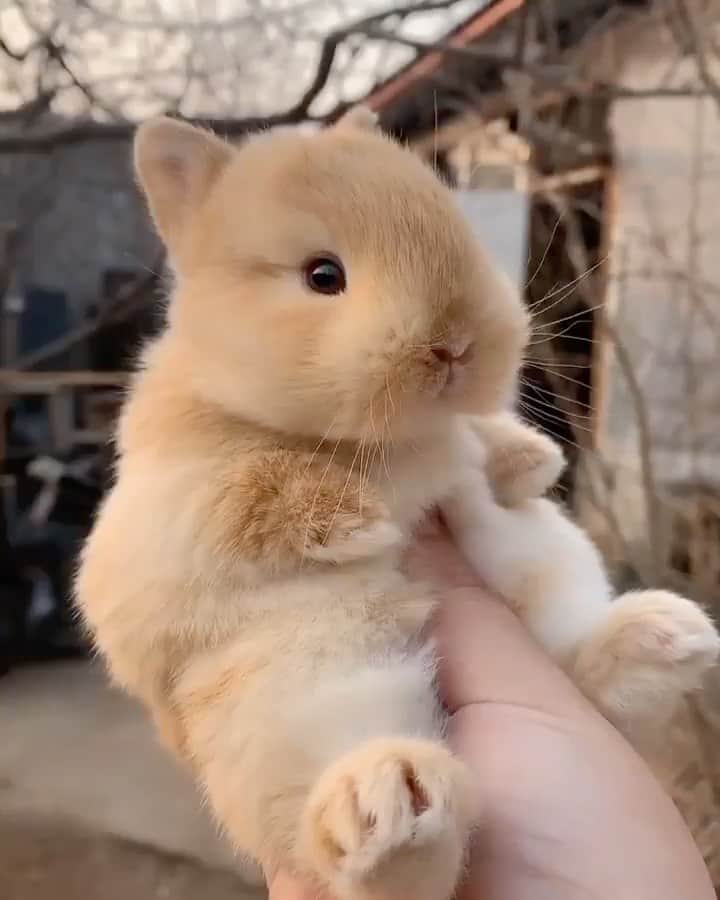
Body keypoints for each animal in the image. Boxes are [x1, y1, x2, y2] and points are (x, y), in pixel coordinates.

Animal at [75, 107, 718, 900]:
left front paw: (531, 461)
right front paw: (364, 517)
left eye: (455, 227)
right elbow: (256, 488)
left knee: (578, 668)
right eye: (323, 275)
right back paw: (385, 800)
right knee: (373, 863)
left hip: (549, 576)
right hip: (293, 707)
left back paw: (668, 635)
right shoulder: (173, 504)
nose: (455, 345)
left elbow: (479, 447)